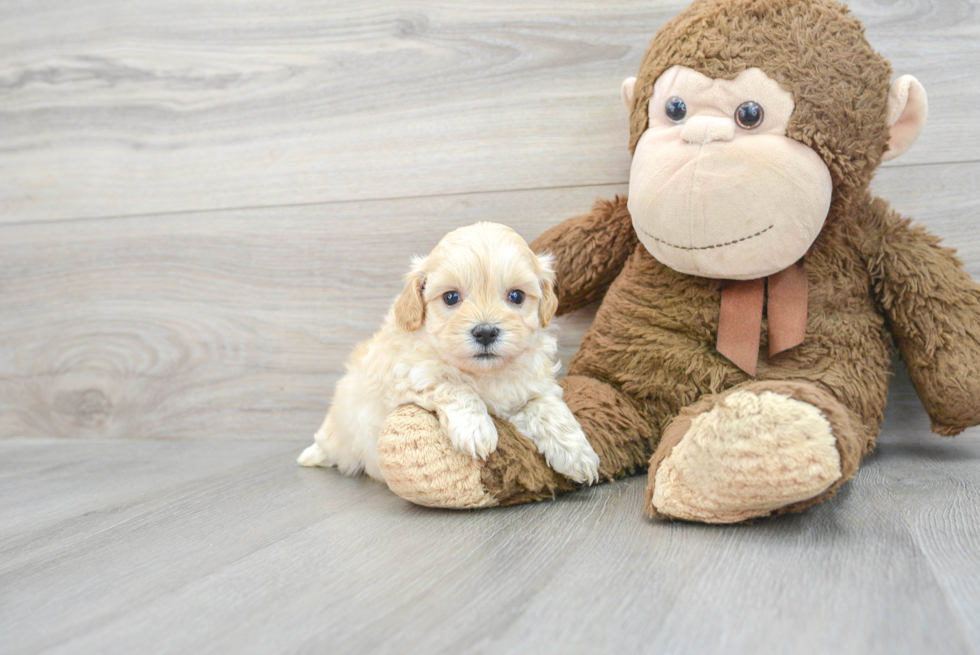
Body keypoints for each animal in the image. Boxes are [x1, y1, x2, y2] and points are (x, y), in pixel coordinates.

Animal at [298, 223, 600, 484]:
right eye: (451, 297)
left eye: (516, 296)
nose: (485, 332)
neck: (484, 373)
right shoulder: (411, 375)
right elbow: (453, 385)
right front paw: (477, 430)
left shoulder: (535, 385)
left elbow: (546, 406)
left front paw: (577, 454)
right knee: (330, 443)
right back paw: (312, 456)